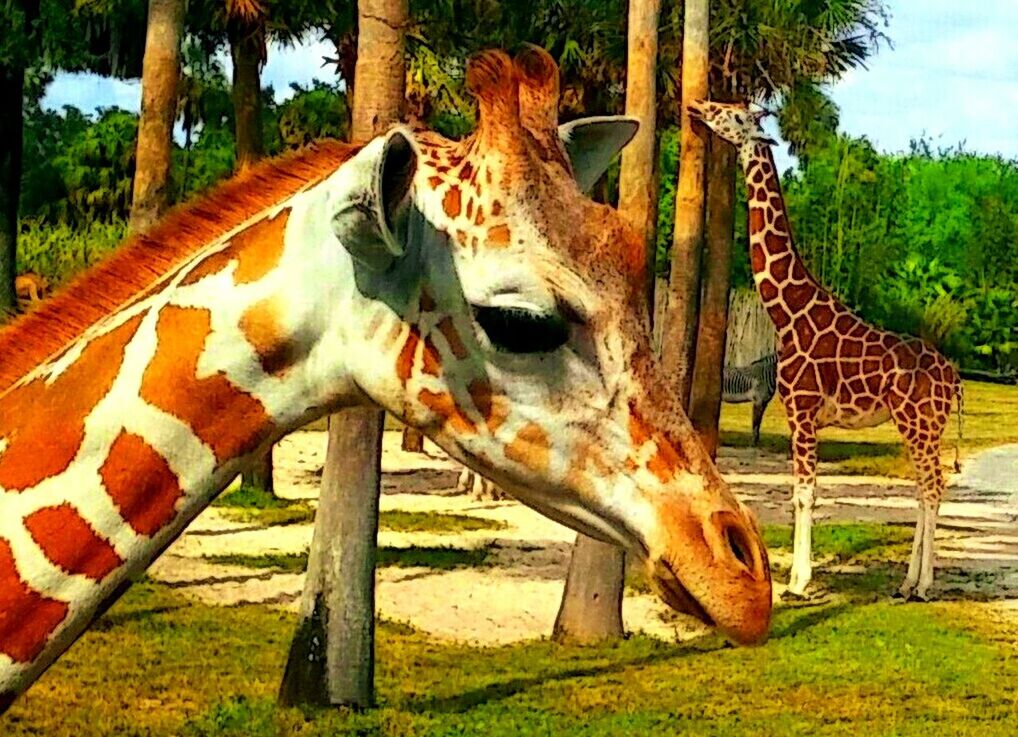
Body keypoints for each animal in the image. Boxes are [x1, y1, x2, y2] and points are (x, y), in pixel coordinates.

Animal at [688, 99, 965, 602]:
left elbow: (804, 493)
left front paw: (798, 582)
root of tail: (954, 377)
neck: (787, 313)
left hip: (919, 424)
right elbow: (799, 492)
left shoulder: (800, 412)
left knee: (934, 487)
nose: (698, 106)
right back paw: (906, 583)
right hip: (922, 427)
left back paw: (923, 586)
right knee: (925, 487)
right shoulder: (802, 415)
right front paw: (799, 577)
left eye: (734, 115)